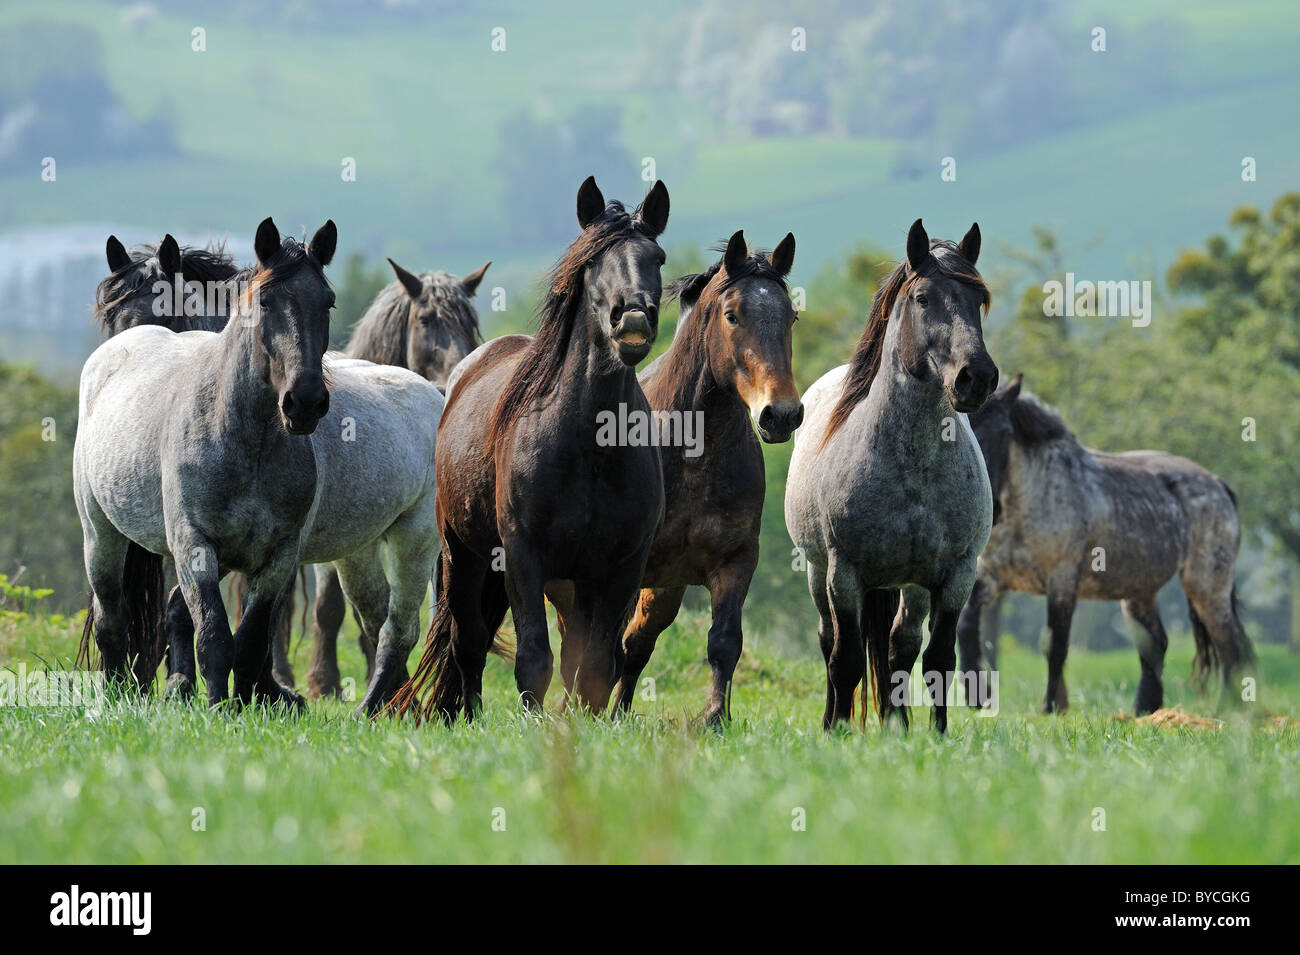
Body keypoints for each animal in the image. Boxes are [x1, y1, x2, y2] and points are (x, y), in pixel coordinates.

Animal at [76, 218, 444, 715]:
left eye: (327, 302)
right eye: (265, 301)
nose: (305, 402)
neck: (243, 439)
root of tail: (439, 396)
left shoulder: (278, 555)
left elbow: (249, 640)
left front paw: (251, 700)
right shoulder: (197, 544)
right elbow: (211, 631)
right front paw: (213, 702)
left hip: (412, 539)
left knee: (396, 629)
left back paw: (373, 713)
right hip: (101, 533)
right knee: (111, 617)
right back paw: (118, 694)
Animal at [388, 175, 670, 722]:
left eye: (658, 257)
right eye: (593, 260)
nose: (632, 321)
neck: (589, 448)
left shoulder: (618, 570)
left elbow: (594, 667)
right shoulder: (523, 555)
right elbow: (534, 658)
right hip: (463, 556)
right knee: (467, 643)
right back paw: (468, 715)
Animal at [546, 229, 801, 724]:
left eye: (791, 316)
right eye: (732, 315)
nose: (780, 414)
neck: (693, 454)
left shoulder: (735, 561)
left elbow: (723, 643)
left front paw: (716, 718)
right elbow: (601, 645)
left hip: (665, 587)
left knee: (637, 644)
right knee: (584, 637)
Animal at [784, 219, 998, 733]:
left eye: (977, 299)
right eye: (922, 297)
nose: (977, 377)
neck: (913, 469)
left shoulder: (956, 576)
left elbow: (937, 661)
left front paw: (936, 737)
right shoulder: (844, 574)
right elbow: (844, 661)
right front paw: (836, 731)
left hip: (911, 585)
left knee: (901, 648)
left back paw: (897, 728)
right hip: (818, 573)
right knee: (829, 642)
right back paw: (836, 719)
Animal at [956, 375, 1256, 715]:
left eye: (1006, 432)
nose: (991, 507)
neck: (1034, 496)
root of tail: (1218, 485)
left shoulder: (1062, 581)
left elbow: (1054, 644)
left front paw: (1051, 706)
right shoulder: (993, 577)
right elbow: (967, 625)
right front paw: (977, 696)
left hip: (1207, 587)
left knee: (1229, 644)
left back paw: (1227, 710)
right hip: (1140, 592)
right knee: (1156, 645)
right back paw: (1145, 712)